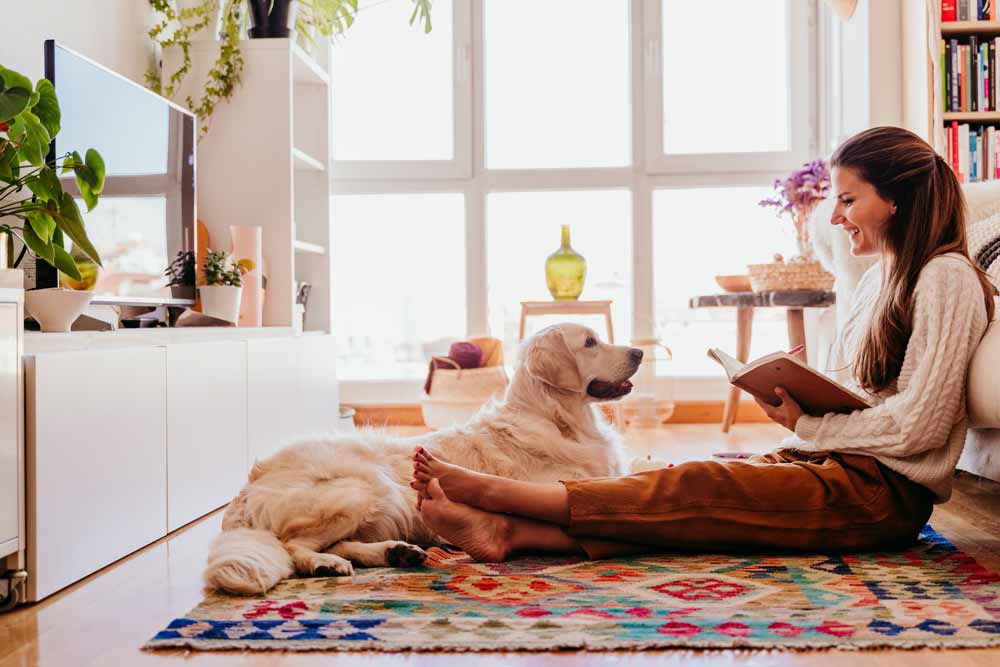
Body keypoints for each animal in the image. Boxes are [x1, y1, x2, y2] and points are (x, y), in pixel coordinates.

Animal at [205, 324, 640, 596]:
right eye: (590, 342)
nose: (638, 351)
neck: (560, 419)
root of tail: (249, 484)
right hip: (361, 487)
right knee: (293, 545)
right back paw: (325, 564)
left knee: (342, 543)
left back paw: (395, 553)